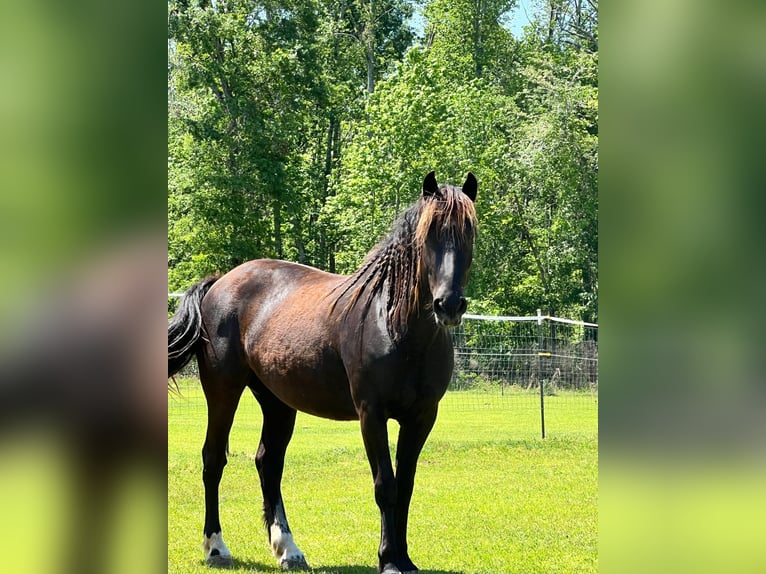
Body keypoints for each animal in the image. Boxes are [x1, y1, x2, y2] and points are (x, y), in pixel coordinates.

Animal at [168, 171, 477, 574]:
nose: (449, 304)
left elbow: (406, 485)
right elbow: (386, 486)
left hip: (277, 402)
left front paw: (405, 558)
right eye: (430, 234)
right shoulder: (372, 415)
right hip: (223, 392)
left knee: (269, 463)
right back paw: (217, 548)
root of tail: (220, 282)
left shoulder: (422, 417)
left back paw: (288, 549)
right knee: (213, 459)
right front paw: (388, 560)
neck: (396, 327)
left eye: (469, 232)